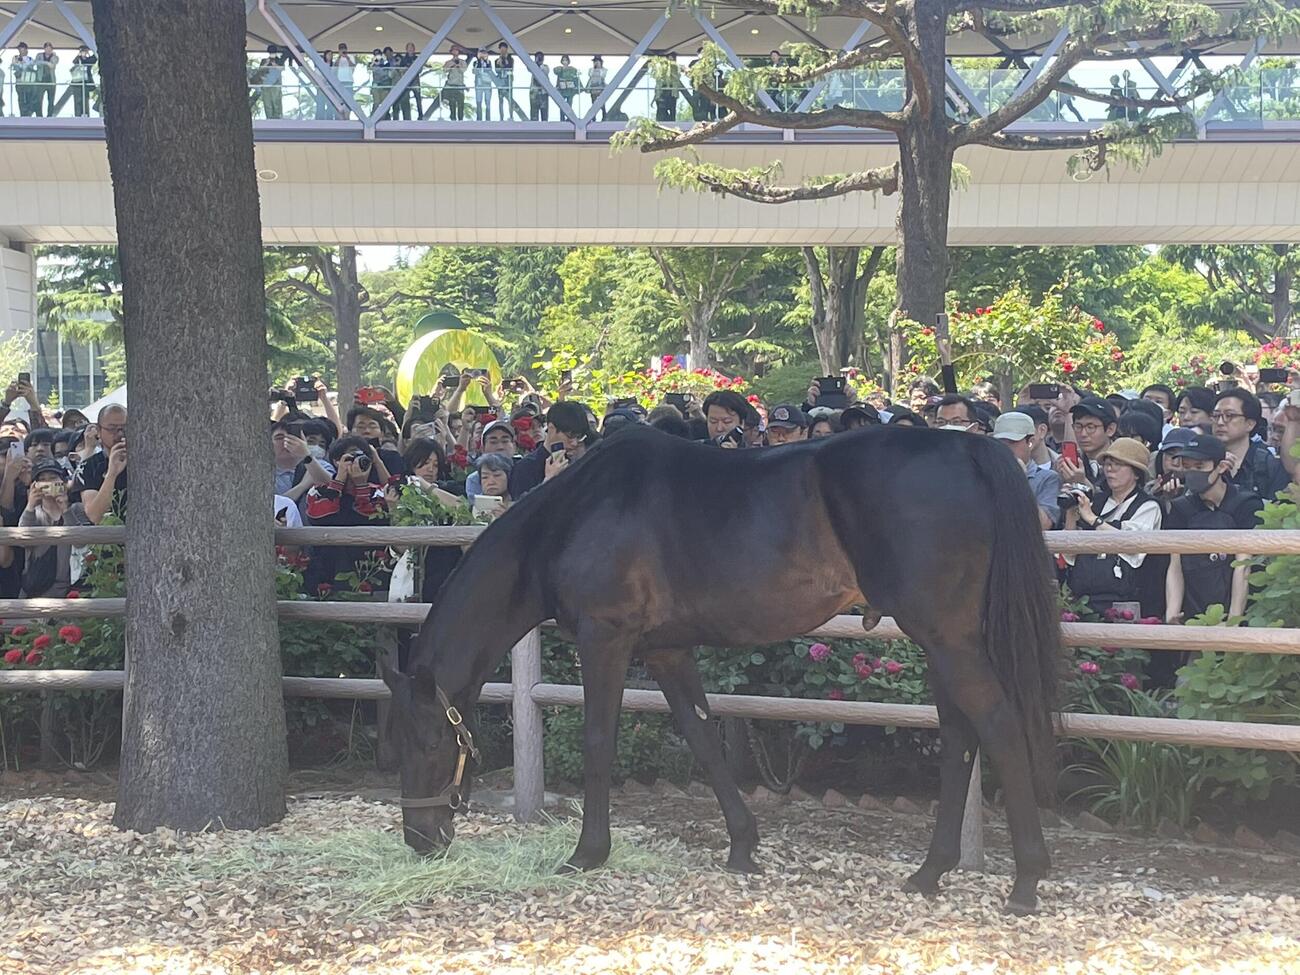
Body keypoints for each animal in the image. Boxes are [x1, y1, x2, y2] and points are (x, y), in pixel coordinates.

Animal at [380, 424, 1061, 915]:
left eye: (429, 740)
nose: (419, 837)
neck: (575, 515)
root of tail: (967, 445)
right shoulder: (667, 651)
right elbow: (704, 738)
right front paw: (743, 847)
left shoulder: (606, 640)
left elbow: (600, 741)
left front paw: (587, 854)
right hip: (942, 639)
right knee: (959, 734)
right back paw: (929, 872)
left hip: (946, 637)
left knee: (997, 724)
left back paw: (1026, 882)